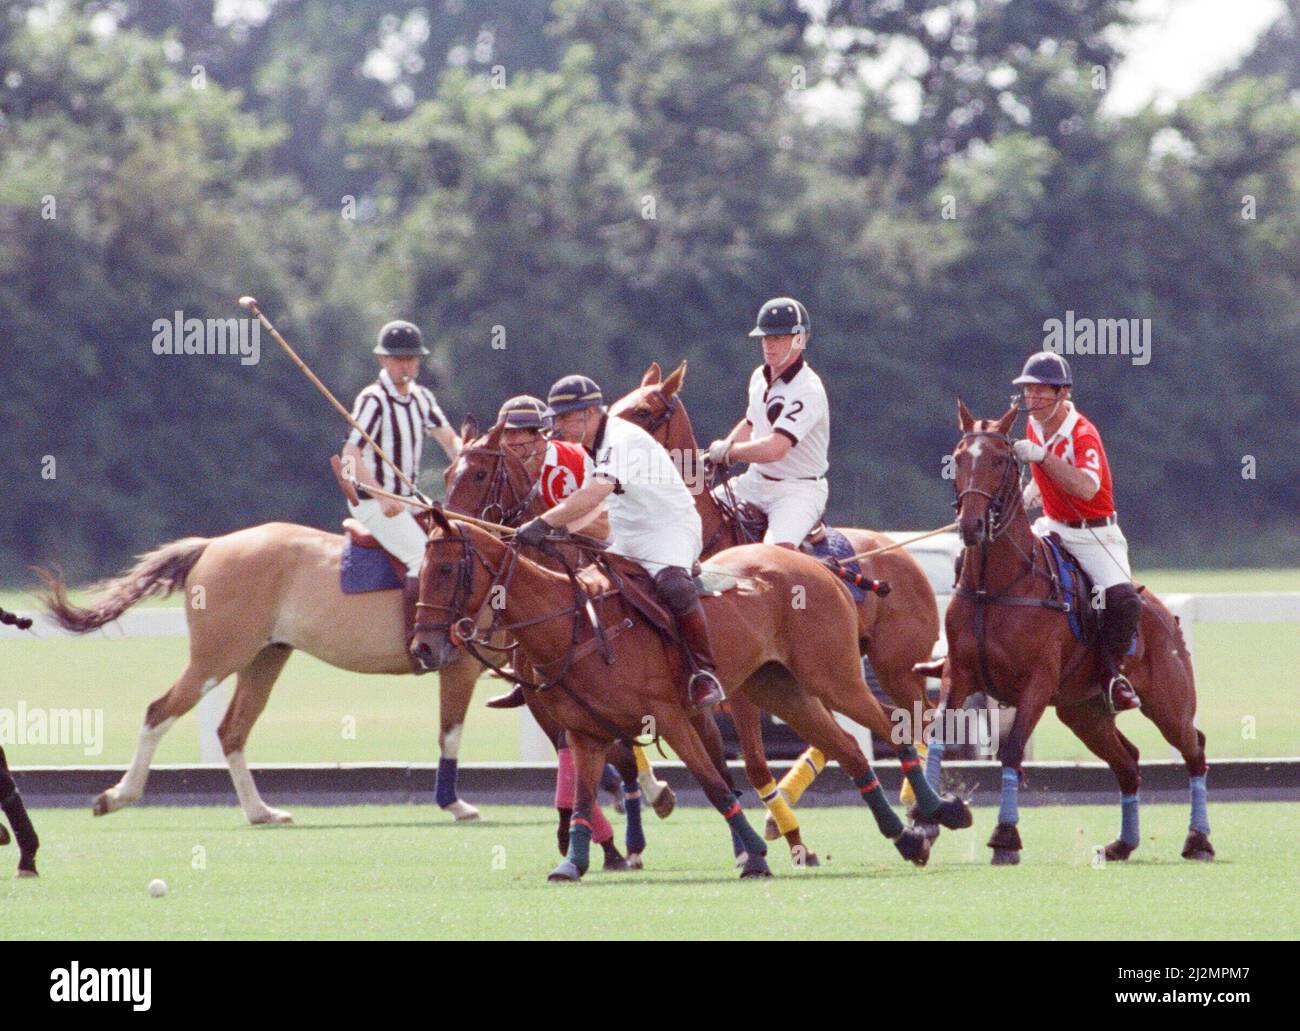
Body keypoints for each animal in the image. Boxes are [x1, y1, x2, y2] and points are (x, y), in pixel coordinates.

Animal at [410, 507, 972, 878]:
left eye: (447, 569)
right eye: (420, 571)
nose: (423, 647)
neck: (573, 625)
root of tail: (817, 565)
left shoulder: (672, 717)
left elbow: (716, 785)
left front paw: (755, 856)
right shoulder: (586, 733)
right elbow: (587, 795)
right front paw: (573, 863)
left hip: (834, 674)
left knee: (892, 727)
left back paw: (939, 813)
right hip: (780, 688)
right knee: (851, 748)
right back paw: (905, 838)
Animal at [611, 361, 946, 837]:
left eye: (642, 411)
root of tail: (900, 552)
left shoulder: (737, 683)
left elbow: (751, 764)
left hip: (895, 664)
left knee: (922, 716)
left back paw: (920, 805)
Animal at [930, 403, 1211, 863]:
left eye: (1000, 460)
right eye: (957, 458)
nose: (971, 525)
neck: (996, 586)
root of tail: (1167, 616)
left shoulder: (1037, 682)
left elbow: (1011, 750)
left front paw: (1005, 837)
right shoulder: (960, 675)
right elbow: (936, 737)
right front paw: (928, 819)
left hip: (1169, 703)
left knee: (1195, 750)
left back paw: (1198, 840)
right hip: (1083, 711)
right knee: (1128, 762)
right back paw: (1122, 844)